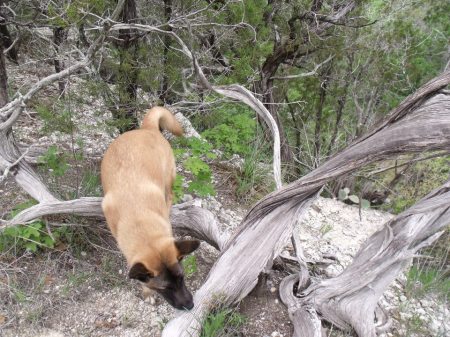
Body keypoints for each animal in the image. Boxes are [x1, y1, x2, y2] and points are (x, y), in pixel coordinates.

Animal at [103, 106, 201, 308]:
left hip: (169, 178)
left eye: (182, 278)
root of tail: (147, 129)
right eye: (165, 288)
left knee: (169, 194)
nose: (190, 306)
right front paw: (146, 292)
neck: (140, 222)